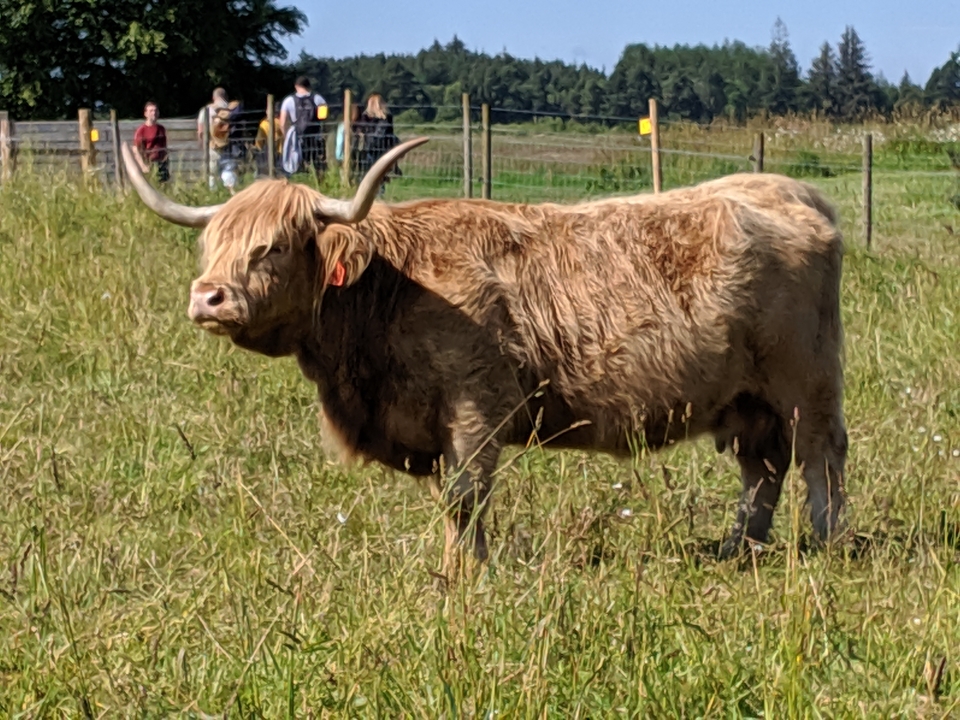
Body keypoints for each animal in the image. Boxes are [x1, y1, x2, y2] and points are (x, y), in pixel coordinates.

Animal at [120, 137, 848, 572]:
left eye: (270, 246)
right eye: (209, 244)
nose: (208, 297)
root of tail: (788, 189)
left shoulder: (475, 408)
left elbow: (465, 497)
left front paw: (462, 573)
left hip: (805, 381)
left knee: (820, 457)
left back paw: (826, 541)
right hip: (749, 400)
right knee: (763, 469)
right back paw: (737, 548)